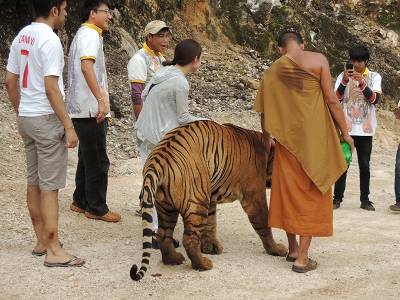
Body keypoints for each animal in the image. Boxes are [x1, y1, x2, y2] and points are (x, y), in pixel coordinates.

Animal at [130, 119, 288, 282]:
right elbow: (264, 224)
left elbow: (211, 223)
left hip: (167, 206)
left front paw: (210, 247)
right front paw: (276, 249)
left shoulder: (210, 197)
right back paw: (203, 264)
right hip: (196, 201)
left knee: (163, 234)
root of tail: (159, 156)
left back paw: (173, 259)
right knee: (189, 239)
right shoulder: (254, 197)